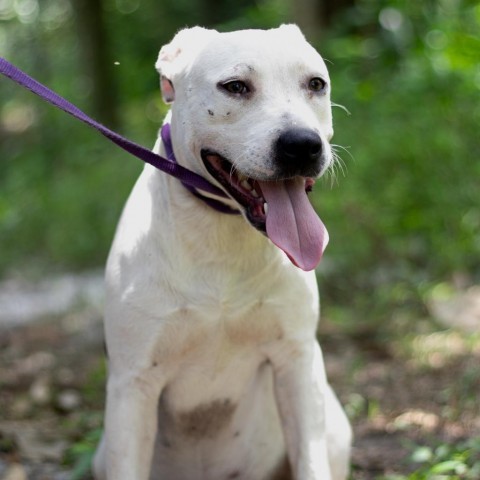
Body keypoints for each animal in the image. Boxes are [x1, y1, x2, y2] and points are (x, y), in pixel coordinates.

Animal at [92, 25, 350, 480]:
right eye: (235, 87)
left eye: (315, 84)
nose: (303, 144)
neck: (223, 233)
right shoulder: (132, 385)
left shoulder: (297, 361)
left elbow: (310, 459)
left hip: (333, 424)